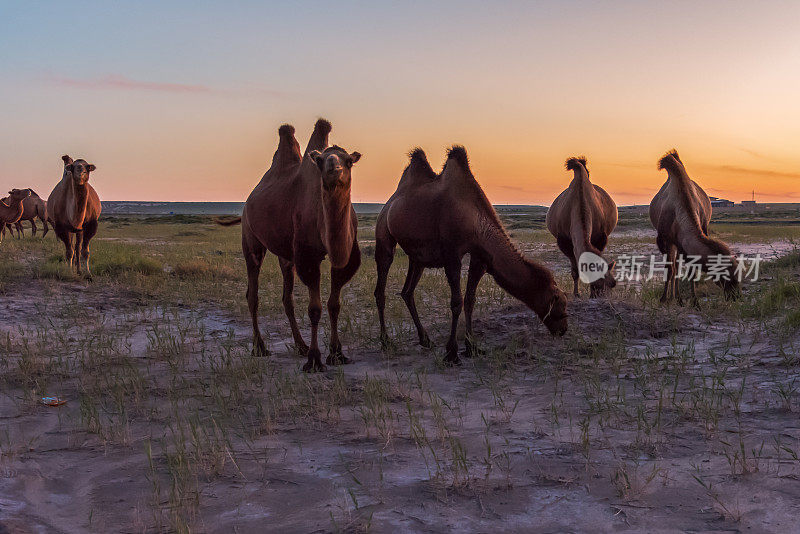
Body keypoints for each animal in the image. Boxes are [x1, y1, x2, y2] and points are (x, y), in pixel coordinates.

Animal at [214, 120, 360, 372]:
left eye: (348, 160)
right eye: (320, 161)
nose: (333, 168)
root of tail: (248, 202)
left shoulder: (345, 258)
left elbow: (334, 304)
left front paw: (337, 354)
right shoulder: (308, 256)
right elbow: (314, 309)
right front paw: (314, 360)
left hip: (286, 256)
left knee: (287, 297)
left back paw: (300, 345)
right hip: (251, 240)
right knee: (253, 293)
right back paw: (260, 348)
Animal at [376, 146, 568, 368]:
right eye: (559, 305)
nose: (564, 329)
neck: (475, 221)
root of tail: (391, 201)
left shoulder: (480, 258)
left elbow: (470, 300)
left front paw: (472, 347)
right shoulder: (452, 255)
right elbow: (456, 302)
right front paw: (452, 353)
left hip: (418, 257)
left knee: (407, 291)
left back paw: (425, 340)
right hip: (384, 234)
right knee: (381, 285)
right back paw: (386, 342)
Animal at [544, 157, 620, 300]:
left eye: (613, 283)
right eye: (596, 282)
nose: (601, 296)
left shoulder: (601, 237)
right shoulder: (564, 241)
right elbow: (575, 270)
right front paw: (576, 294)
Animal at [648, 149, 736, 306]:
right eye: (726, 273)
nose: (735, 295)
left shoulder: (686, 240)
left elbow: (691, 271)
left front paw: (694, 302)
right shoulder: (666, 240)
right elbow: (669, 269)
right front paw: (663, 299)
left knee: (677, 266)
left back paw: (677, 297)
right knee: (674, 267)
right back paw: (672, 297)